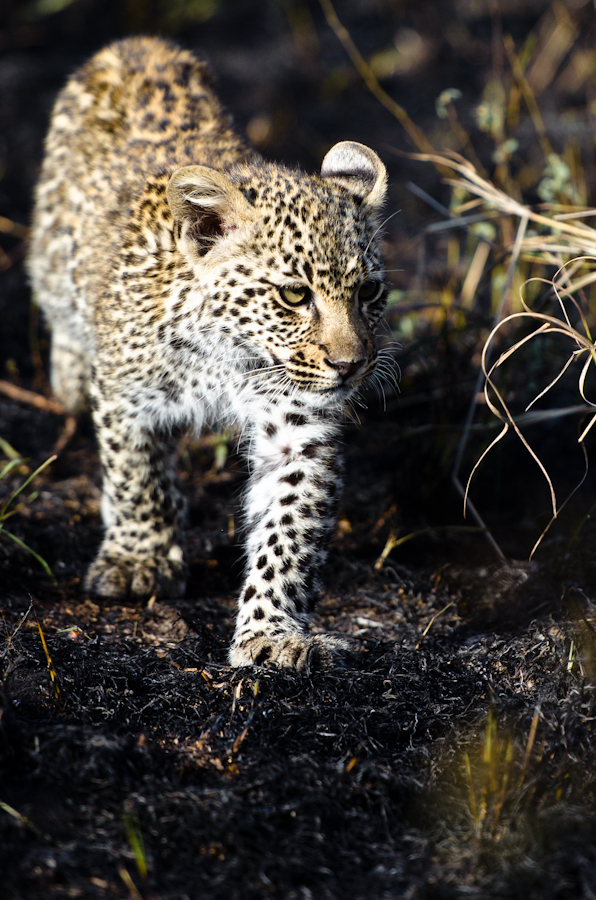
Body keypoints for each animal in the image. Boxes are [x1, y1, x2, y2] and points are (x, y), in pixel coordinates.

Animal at [27, 36, 389, 669]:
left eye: (367, 292)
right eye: (294, 295)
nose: (350, 367)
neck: (228, 357)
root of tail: (139, 45)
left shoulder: (298, 427)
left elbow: (289, 530)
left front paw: (271, 631)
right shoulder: (125, 396)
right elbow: (136, 477)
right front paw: (140, 559)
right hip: (51, 258)